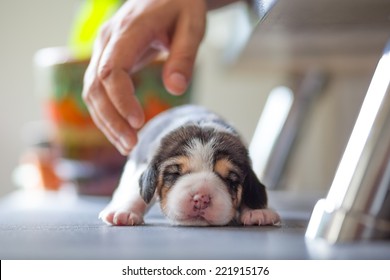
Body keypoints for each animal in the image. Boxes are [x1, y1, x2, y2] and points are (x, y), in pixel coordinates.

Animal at [99, 105, 278, 225]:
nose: (202, 198)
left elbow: (252, 192)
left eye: (230, 181)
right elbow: (136, 194)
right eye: (175, 174)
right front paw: (124, 212)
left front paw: (258, 211)